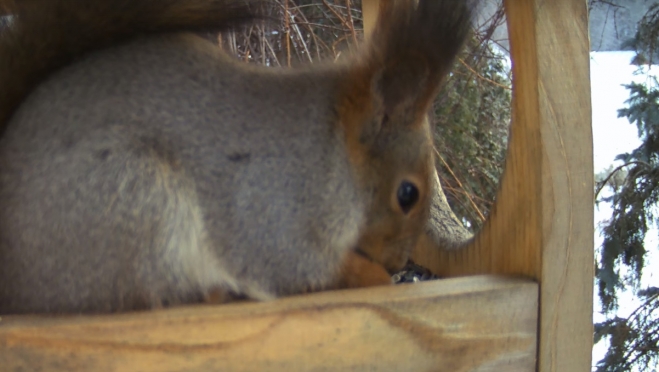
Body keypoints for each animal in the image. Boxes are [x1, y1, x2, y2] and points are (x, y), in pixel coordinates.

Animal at [0, 0, 474, 314]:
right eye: (407, 194)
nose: (398, 262)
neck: (332, 153)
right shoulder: (274, 210)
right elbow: (298, 268)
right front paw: (375, 276)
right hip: (132, 194)